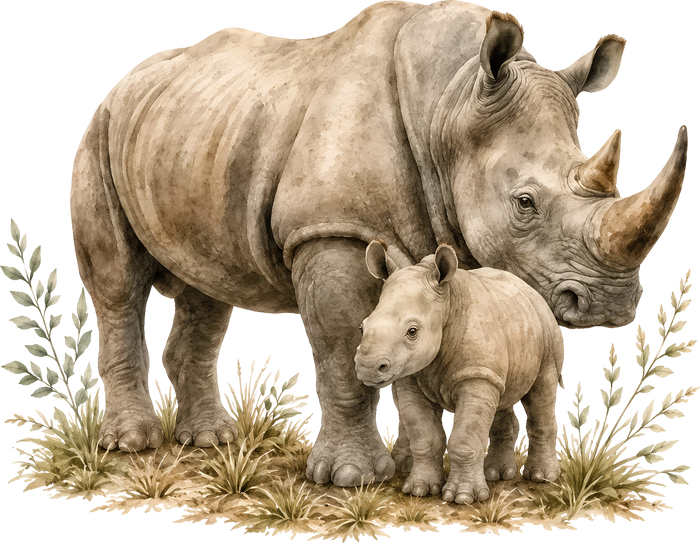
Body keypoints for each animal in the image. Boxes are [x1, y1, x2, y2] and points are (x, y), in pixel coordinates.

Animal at [356, 240, 566, 503]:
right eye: (362, 327)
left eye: (412, 331)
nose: (367, 367)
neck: (447, 303)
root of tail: (531, 291)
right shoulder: (410, 376)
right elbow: (424, 436)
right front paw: (420, 490)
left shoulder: (475, 375)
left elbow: (465, 437)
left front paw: (463, 497)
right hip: (512, 325)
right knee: (502, 396)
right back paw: (497, 474)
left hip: (546, 331)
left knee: (542, 391)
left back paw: (542, 478)